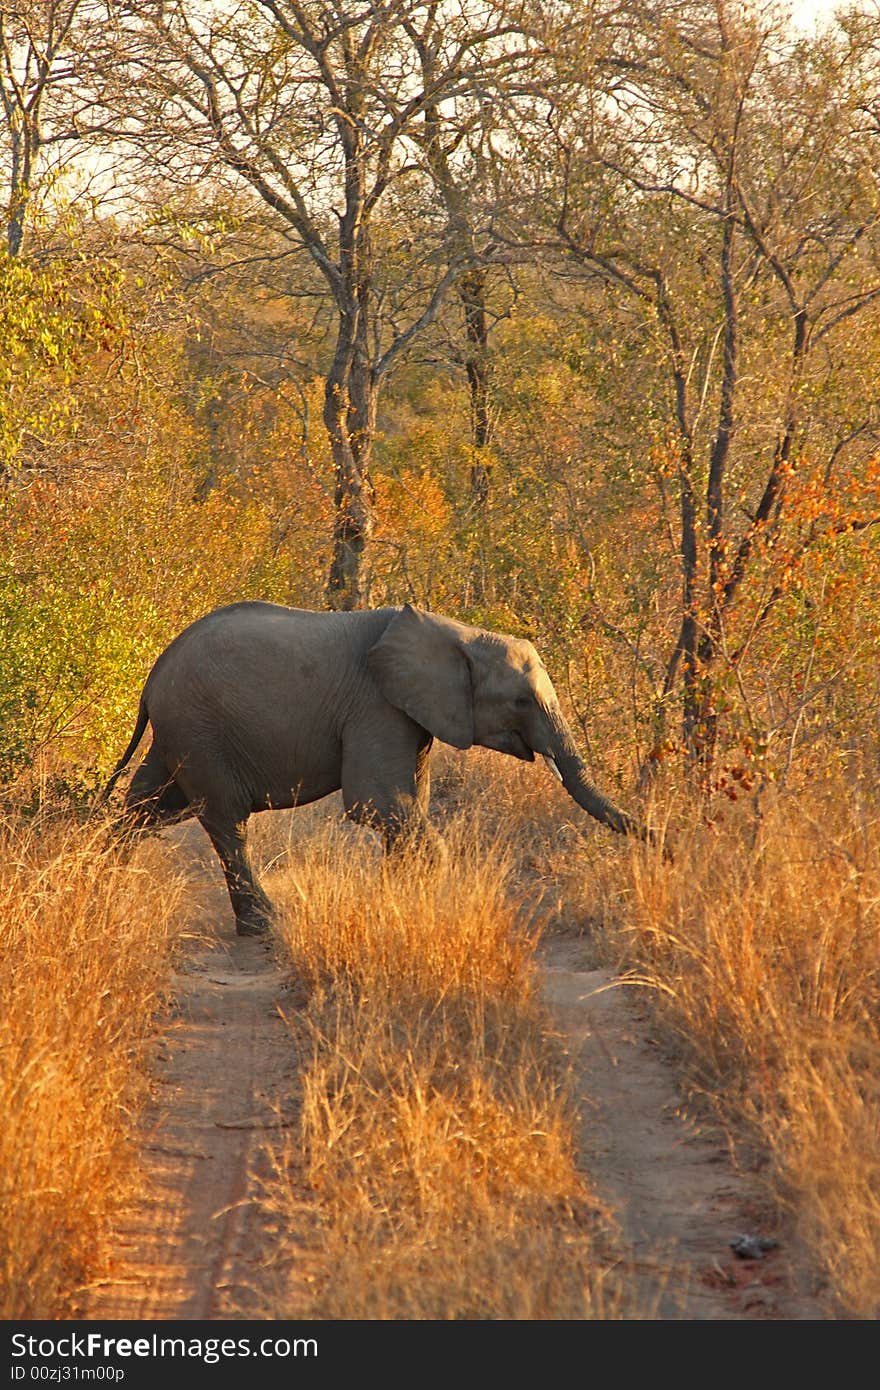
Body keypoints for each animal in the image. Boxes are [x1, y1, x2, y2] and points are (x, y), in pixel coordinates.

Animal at [106, 603, 647, 939]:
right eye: (519, 701)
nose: (662, 843)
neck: (456, 632)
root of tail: (153, 675)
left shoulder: (413, 714)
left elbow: (406, 806)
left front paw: (401, 897)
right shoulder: (376, 706)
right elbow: (376, 803)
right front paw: (426, 900)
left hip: (180, 735)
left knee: (146, 807)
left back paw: (107, 881)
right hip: (200, 730)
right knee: (225, 821)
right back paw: (266, 925)